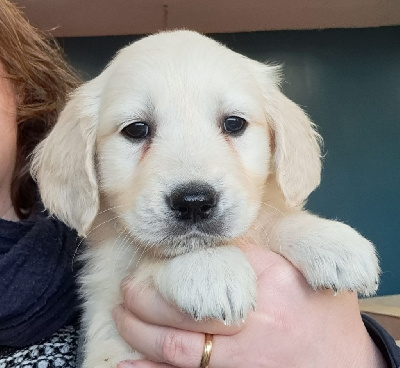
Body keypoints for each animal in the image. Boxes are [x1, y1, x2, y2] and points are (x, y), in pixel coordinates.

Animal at [30, 30, 378, 366]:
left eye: (234, 123)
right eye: (136, 129)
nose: (194, 202)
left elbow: (273, 219)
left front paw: (330, 241)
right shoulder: (108, 308)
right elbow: (144, 258)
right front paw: (208, 268)